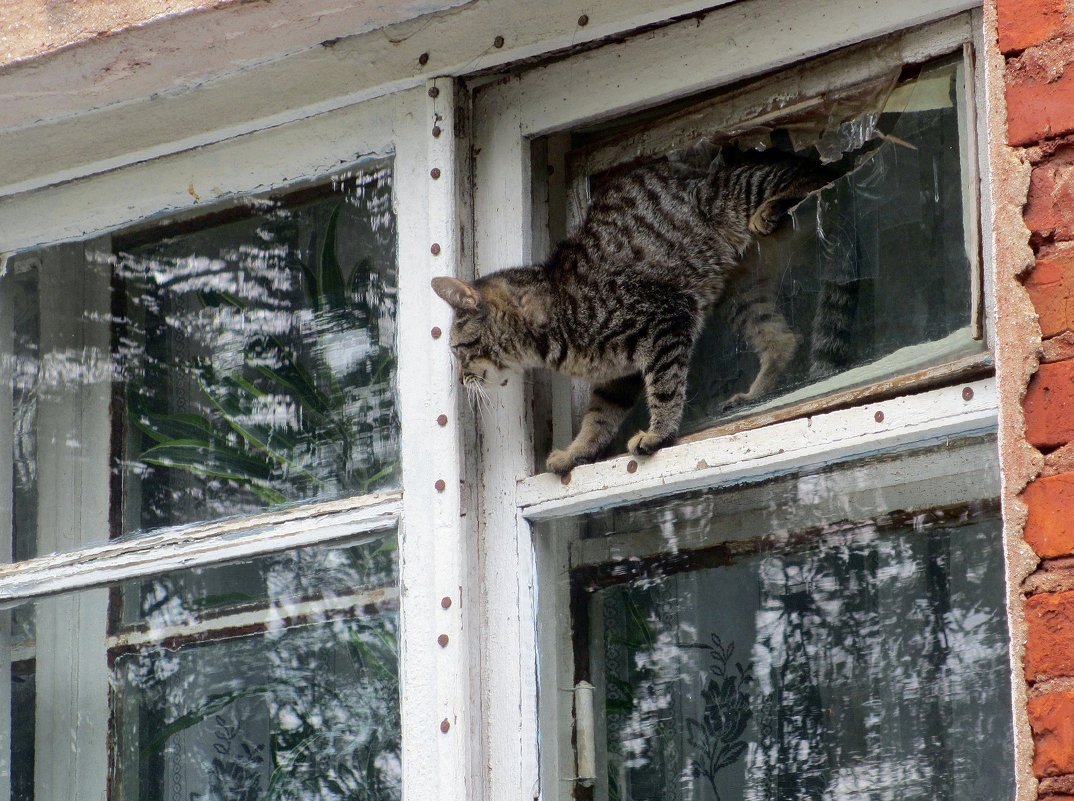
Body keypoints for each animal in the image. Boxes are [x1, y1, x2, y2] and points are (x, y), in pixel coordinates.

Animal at [427, 142, 837, 470]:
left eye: (457, 349)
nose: (461, 380)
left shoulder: (667, 318)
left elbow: (665, 387)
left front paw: (658, 433)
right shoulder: (616, 377)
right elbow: (597, 418)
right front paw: (576, 451)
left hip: (733, 193)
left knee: (818, 172)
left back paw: (778, 202)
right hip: (743, 296)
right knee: (781, 340)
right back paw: (756, 393)